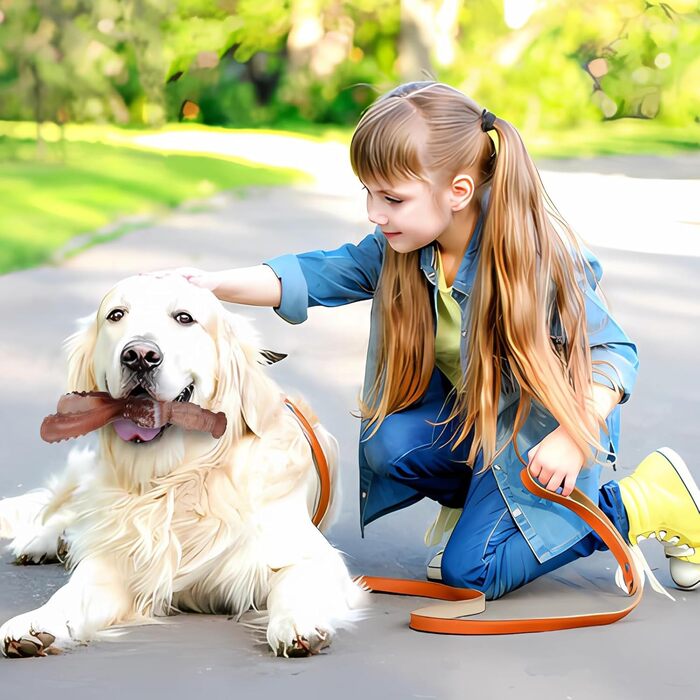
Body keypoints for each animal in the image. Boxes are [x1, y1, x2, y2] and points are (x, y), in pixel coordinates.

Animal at [0, 272, 370, 656]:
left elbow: (296, 584)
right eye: (116, 315)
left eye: (184, 318)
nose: (140, 356)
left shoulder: (309, 555)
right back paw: (41, 541)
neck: (177, 478)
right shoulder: (118, 562)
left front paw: (297, 622)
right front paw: (37, 621)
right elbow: (70, 594)